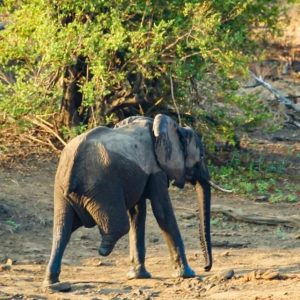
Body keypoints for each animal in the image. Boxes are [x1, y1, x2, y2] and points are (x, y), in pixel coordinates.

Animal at [43, 114, 214, 288]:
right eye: (201, 156)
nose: (206, 267)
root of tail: (73, 162)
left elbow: (138, 214)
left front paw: (139, 276)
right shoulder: (156, 170)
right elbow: (162, 213)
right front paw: (188, 274)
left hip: (62, 188)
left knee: (62, 229)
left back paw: (53, 283)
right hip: (102, 185)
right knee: (119, 225)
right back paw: (103, 250)